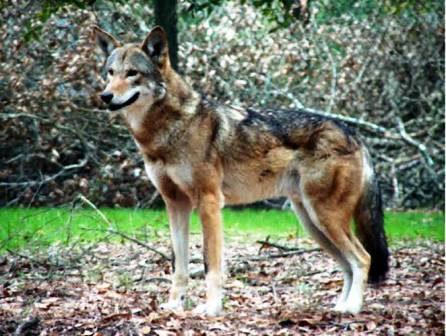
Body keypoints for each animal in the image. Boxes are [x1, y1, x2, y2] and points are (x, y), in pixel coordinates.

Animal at [92, 25, 388, 316]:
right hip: (312, 222)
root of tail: (353, 132)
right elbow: (179, 267)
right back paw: (340, 306)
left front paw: (211, 309)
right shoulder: (175, 205)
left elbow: (211, 265)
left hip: (324, 218)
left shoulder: (209, 202)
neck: (166, 131)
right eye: (110, 72)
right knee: (348, 264)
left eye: (133, 73)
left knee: (363, 258)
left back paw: (352, 308)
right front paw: (173, 306)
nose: (105, 96)